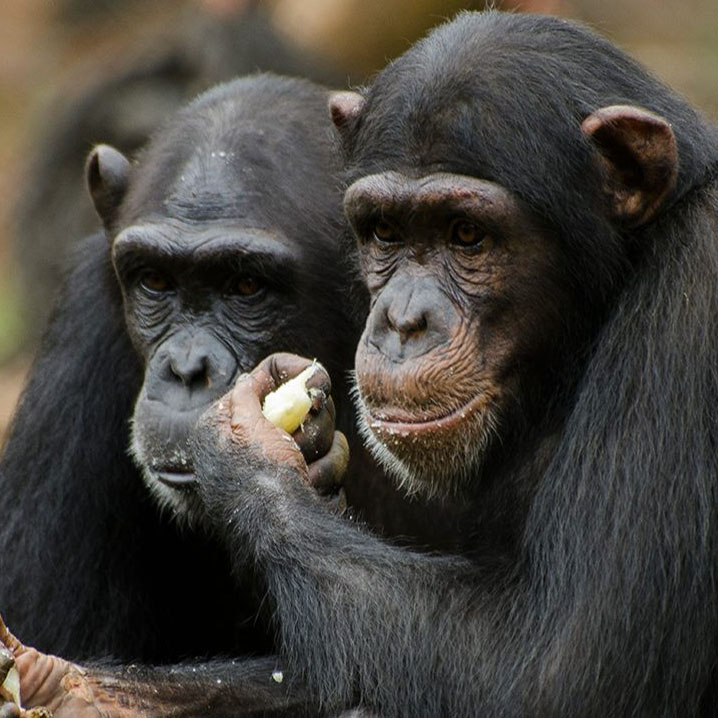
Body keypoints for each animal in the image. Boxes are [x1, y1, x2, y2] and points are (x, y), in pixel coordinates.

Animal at [4, 9, 718, 718]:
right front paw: (84, 689)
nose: (186, 367)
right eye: (385, 232)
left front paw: (249, 452)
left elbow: (557, 669)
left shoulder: (695, 289)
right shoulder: (85, 324)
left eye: (467, 235)